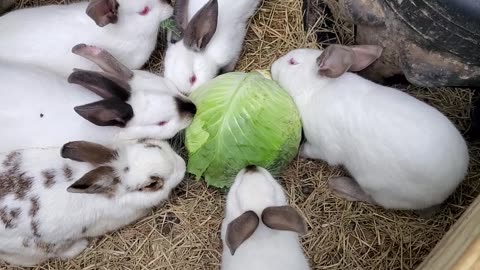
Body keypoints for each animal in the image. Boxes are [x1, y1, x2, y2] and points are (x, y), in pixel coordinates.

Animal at [272, 44, 470, 217]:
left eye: (292, 62)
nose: (273, 66)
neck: (316, 89)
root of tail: (451, 186)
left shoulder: (324, 148)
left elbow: (311, 151)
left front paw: (300, 151)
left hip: (377, 187)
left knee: (372, 198)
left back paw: (339, 185)